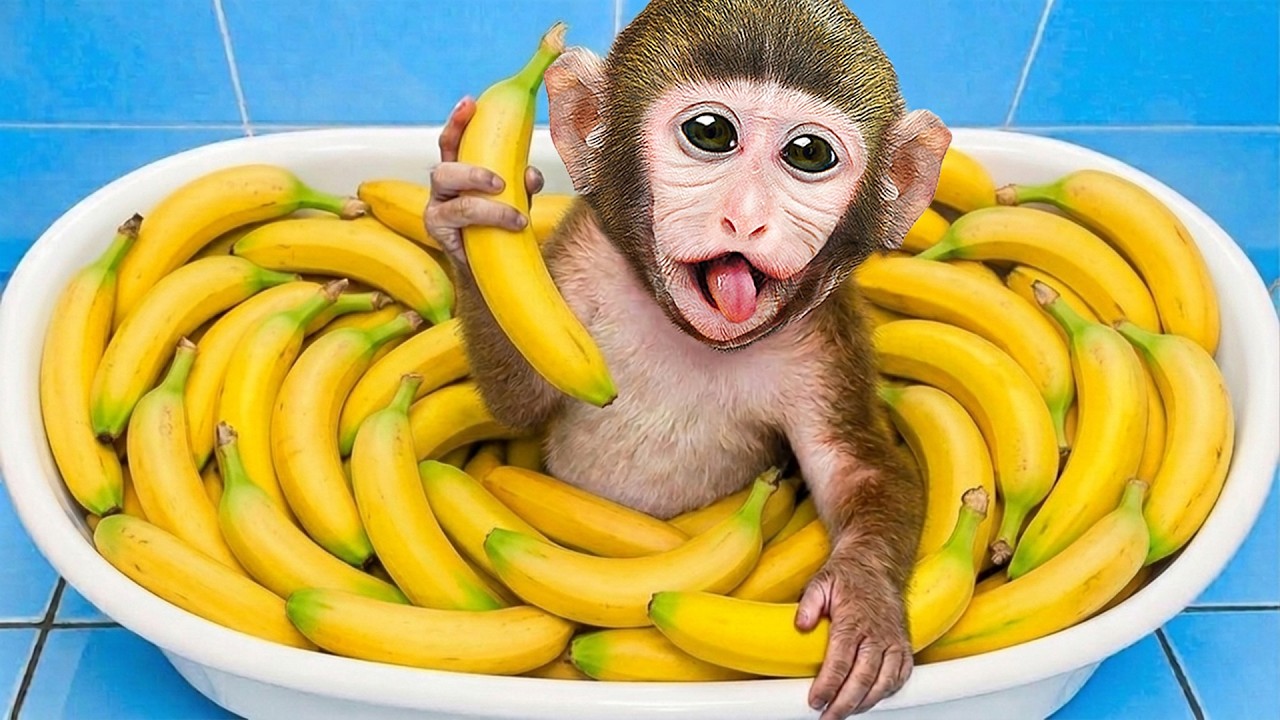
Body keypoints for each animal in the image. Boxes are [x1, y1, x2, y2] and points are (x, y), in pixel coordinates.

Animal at [425, 0, 950, 716]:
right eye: (710, 133)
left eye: (808, 154)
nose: (745, 220)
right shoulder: (578, 262)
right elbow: (522, 402)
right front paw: (461, 213)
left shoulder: (823, 340)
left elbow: (854, 467)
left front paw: (862, 599)